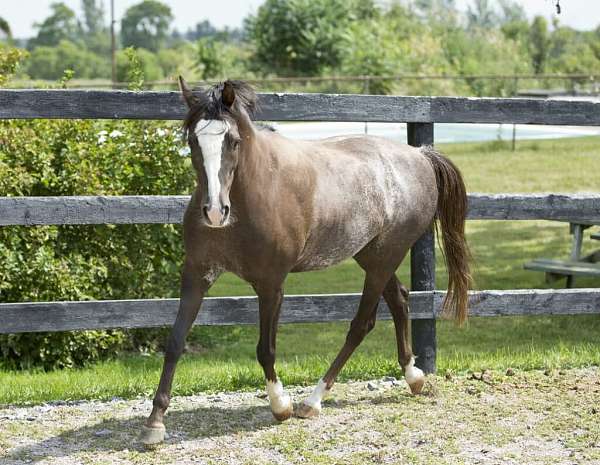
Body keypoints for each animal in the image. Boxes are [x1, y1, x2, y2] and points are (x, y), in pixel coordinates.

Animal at [141, 78, 474, 444]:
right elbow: (175, 341)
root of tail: (420, 156)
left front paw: (280, 406)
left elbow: (265, 349)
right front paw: (154, 424)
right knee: (399, 300)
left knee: (361, 324)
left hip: (385, 257)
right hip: (372, 255)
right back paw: (414, 377)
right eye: (192, 140)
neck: (249, 199)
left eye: (233, 140)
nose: (215, 212)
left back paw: (312, 402)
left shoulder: (271, 284)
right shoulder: (197, 274)